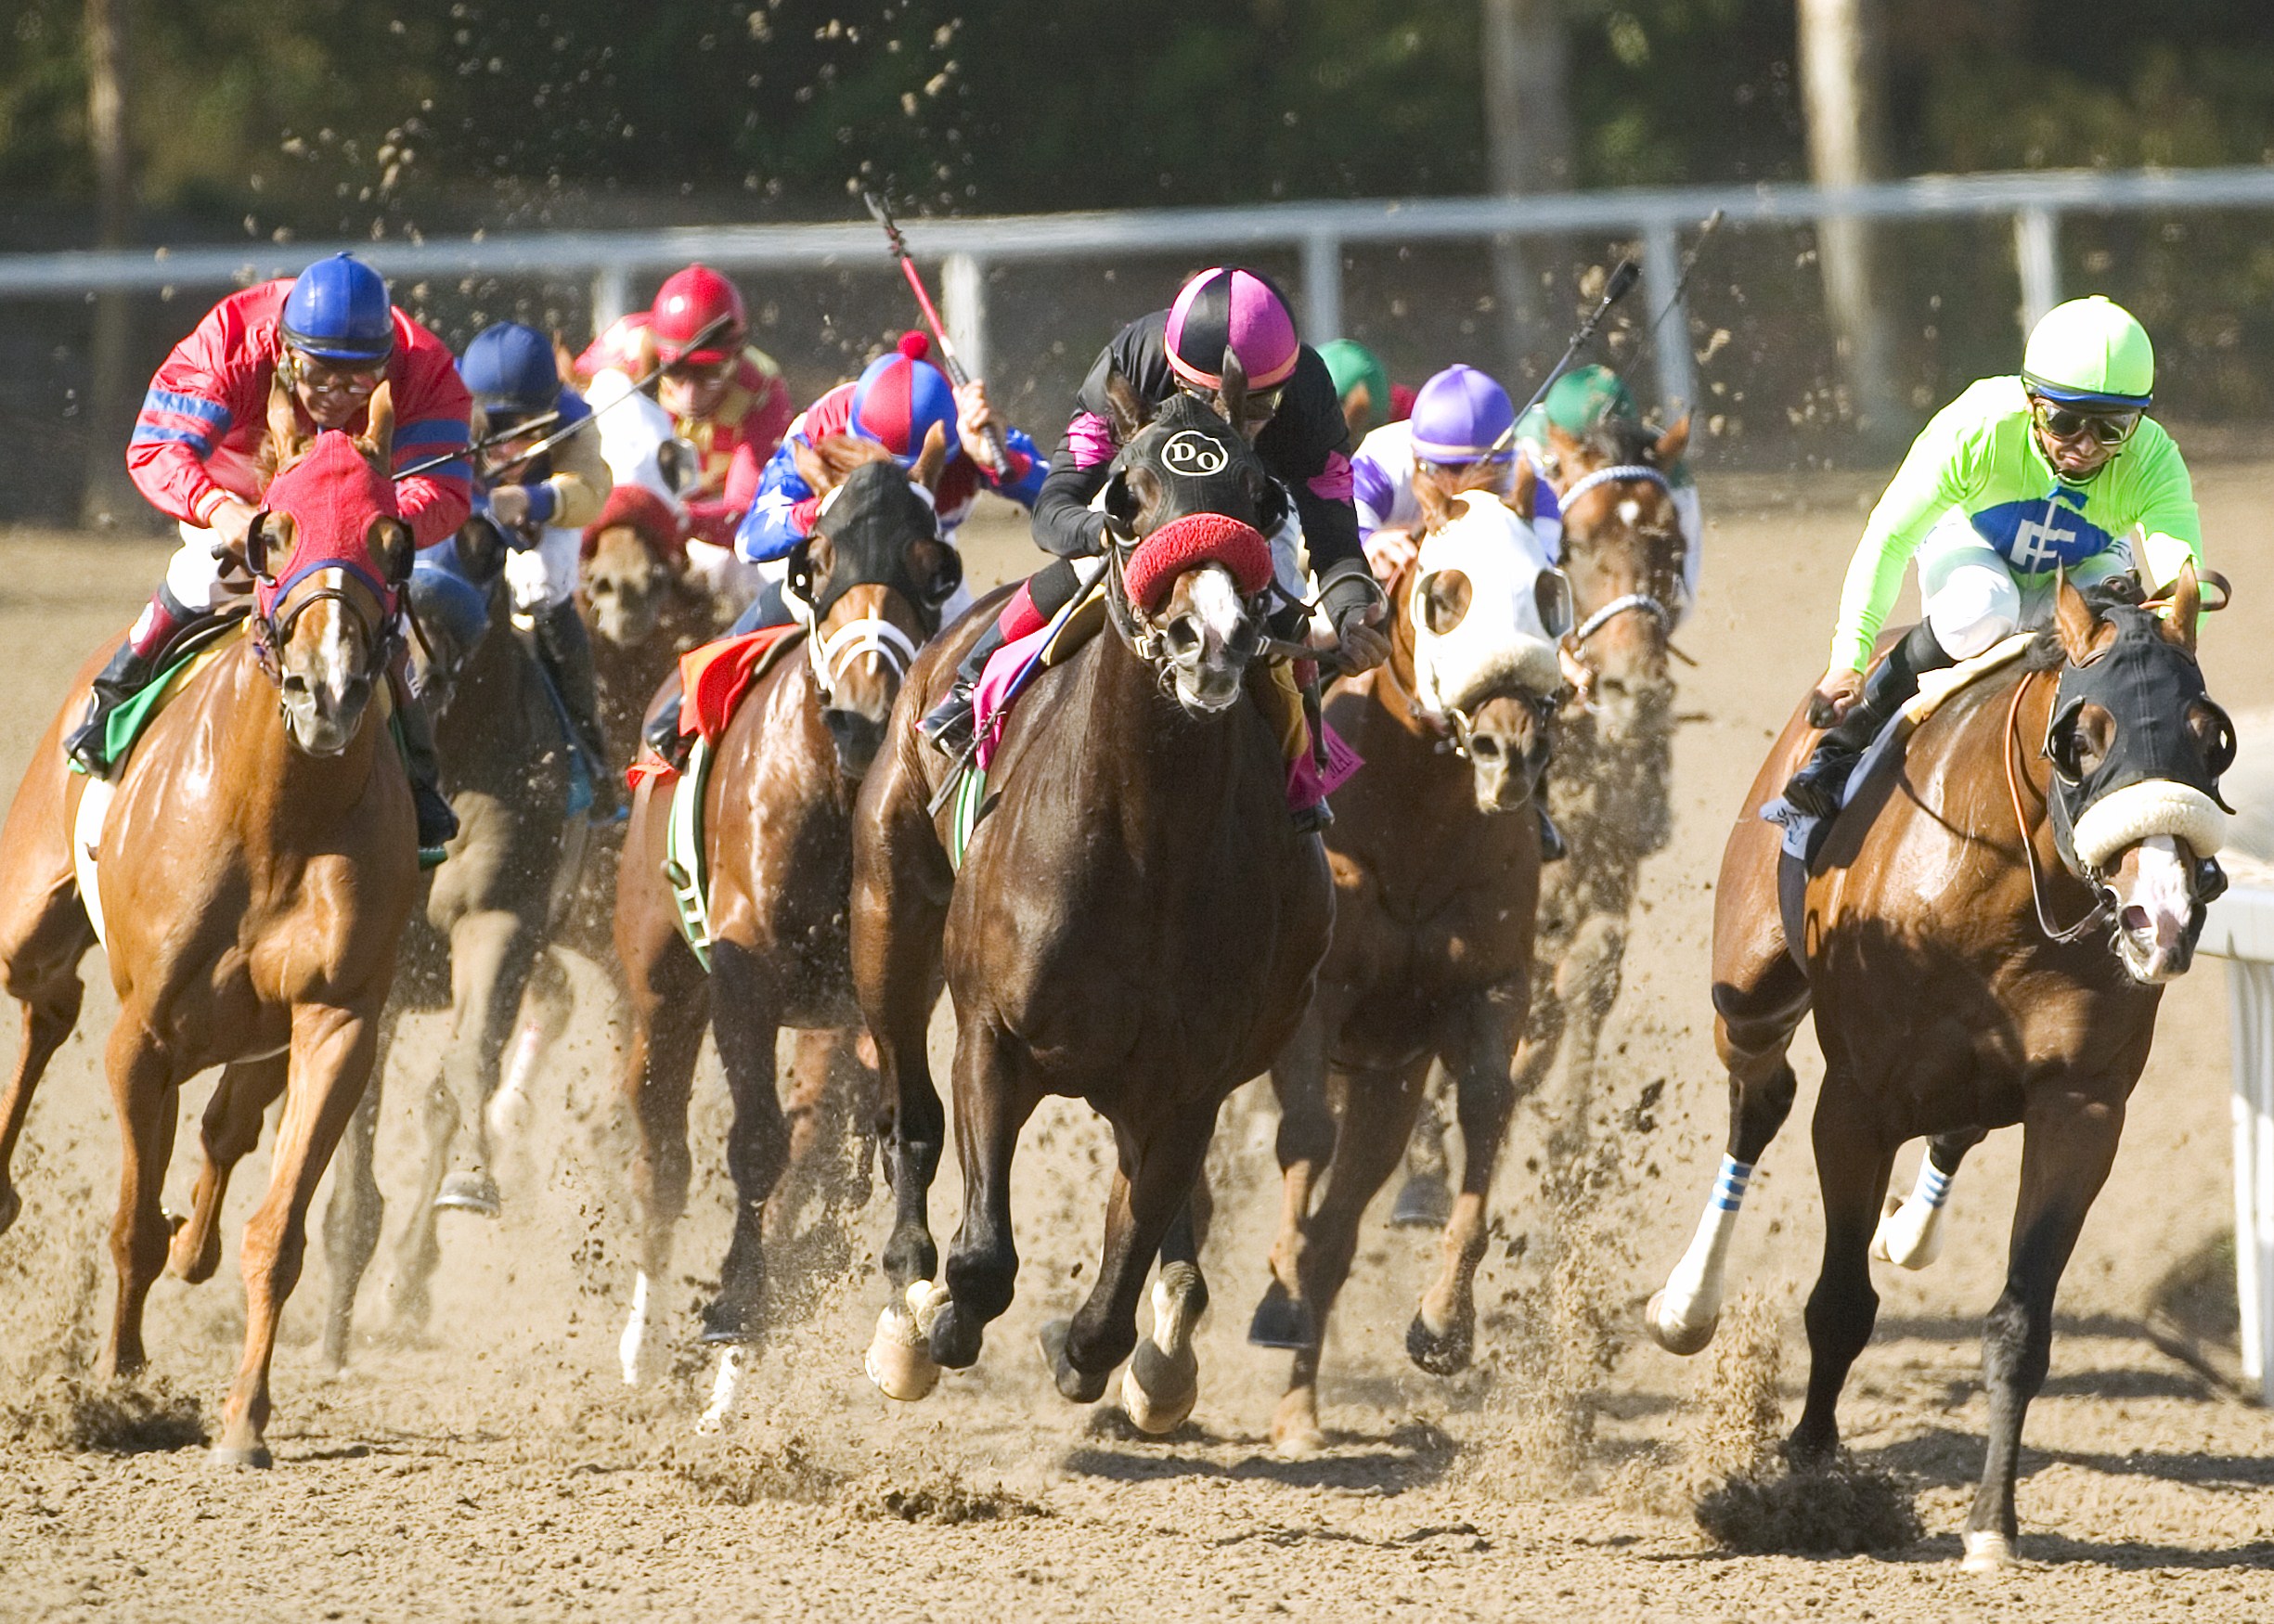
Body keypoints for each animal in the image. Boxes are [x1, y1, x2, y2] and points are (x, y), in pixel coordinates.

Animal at [0, 386, 418, 1464]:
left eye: (393, 540)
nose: (329, 691)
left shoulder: (338, 1021)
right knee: (45, 1007)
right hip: (32, 917)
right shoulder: (142, 1034)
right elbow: (131, 1225)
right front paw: (116, 1383)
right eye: (273, 533)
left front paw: (242, 1421)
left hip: (258, 1036)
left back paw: (201, 1240)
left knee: (228, 1123)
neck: (275, 815)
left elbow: (279, 1231)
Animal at [609, 443, 955, 1392]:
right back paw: (642, 1334)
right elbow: (755, 1145)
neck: (838, 798)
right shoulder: (744, 981)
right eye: (818, 560)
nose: (864, 719)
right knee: (661, 1155)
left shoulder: (884, 993)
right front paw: (734, 1302)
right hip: (659, 986)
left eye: (932, 565)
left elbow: (847, 1149)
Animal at [855, 380, 1327, 1428]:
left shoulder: (1188, 1084)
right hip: (885, 913)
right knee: (908, 1110)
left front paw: (1088, 1355)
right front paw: (945, 1321)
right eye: (1124, 496)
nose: (1210, 638)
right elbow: (981, 1258)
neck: (1148, 846)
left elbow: (1120, 1277)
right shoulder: (991, 1036)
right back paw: (906, 1306)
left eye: (1263, 497)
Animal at [1255, 461, 1573, 1446]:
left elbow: (1487, 1108)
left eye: (1549, 591)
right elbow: (1303, 1133)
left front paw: (1444, 1323)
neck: (1413, 822)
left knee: (1342, 1226)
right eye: (1445, 595)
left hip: (1388, 1086)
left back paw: (1299, 1410)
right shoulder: (1311, 999)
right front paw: (1275, 1295)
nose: (1509, 749)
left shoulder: (1485, 992)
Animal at [1646, 566, 2229, 1555]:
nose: (2161, 916)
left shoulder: (2083, 1108)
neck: (2005, 900)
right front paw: (1809, 1482)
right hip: (1750, 992)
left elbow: (2020, 1324)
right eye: (2082, 737)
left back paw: (1911, 1228)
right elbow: (1840, 1305)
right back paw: (1687, 1304)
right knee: (1759, 1099)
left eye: (2207, 737)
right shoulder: (1856, 1104)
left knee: (1957, 1126)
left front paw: (1992, 1524)